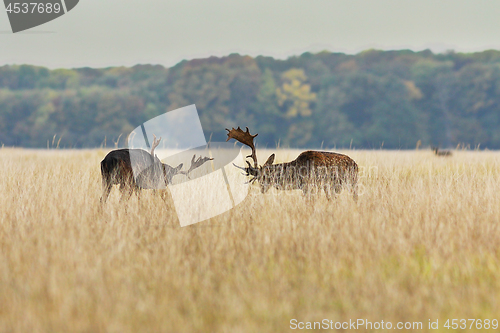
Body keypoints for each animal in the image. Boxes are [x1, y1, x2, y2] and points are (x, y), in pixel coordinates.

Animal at [227, 126, 360, 200]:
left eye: (266, 177)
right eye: (259, 179)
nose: (262, 189)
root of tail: (356, 165)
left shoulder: (310, 185)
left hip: (351, 182)